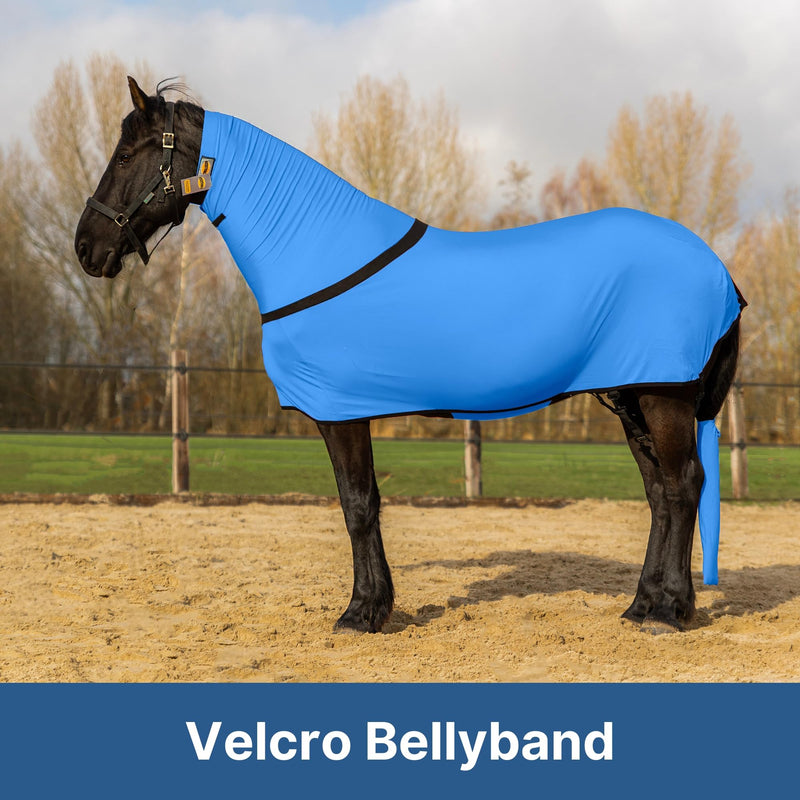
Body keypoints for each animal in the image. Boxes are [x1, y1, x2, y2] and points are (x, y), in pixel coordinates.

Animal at [75, 77, 744, 635]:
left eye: (127, 156)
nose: (86, 246)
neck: (316, 253)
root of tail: (721, 272)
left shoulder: (339, 412)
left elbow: (357, 506)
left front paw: (362, 613)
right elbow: (365, 503)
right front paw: (376, 606)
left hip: (664, 396)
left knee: (683, 486)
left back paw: (669, 613)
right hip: (633, 396)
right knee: (659, 495)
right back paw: (642, 606)